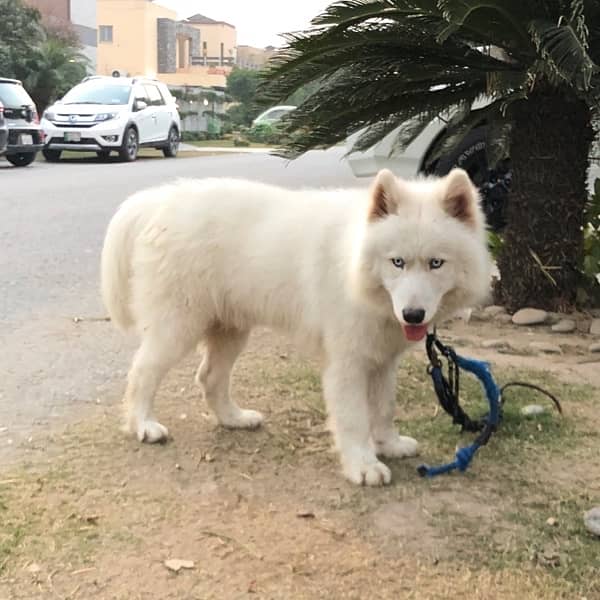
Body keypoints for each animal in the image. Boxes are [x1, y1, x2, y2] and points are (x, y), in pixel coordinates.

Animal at [101, 166, 490, 486]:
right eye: (397, 262)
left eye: (436, 263)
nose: (412, 315)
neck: (355, 266)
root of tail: (160, 199)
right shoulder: (347, 365)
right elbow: (354, 419)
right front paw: (363, 465)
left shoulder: (381, 361)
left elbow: (383, 408)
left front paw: (389, 444)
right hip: (177, 328)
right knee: (142, 373)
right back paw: (143, 426)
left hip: (230, 331)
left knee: (210, 377)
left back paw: (234, 419)